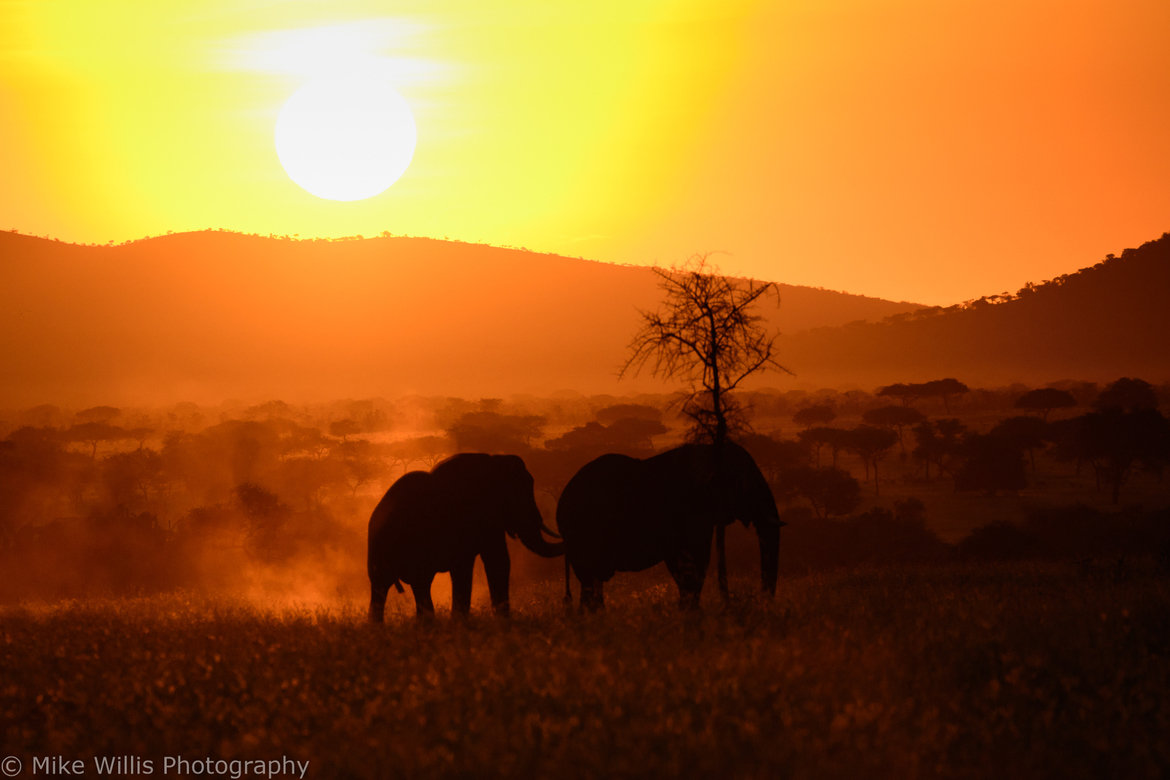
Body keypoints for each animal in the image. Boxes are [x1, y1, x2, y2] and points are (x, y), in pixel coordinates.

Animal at [367, 453, 564, 622]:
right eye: (522, 491)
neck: (494, 461)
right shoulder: (480, 515)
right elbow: (496, 561)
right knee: (405, 584)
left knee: (393, 587)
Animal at [557, 442, 782, 611]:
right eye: (745, 483)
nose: (763, 600)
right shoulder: (689, 512)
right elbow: (693, 560)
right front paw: (690, 612)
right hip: (582, 532)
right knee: (590, 578)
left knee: (592, 582)